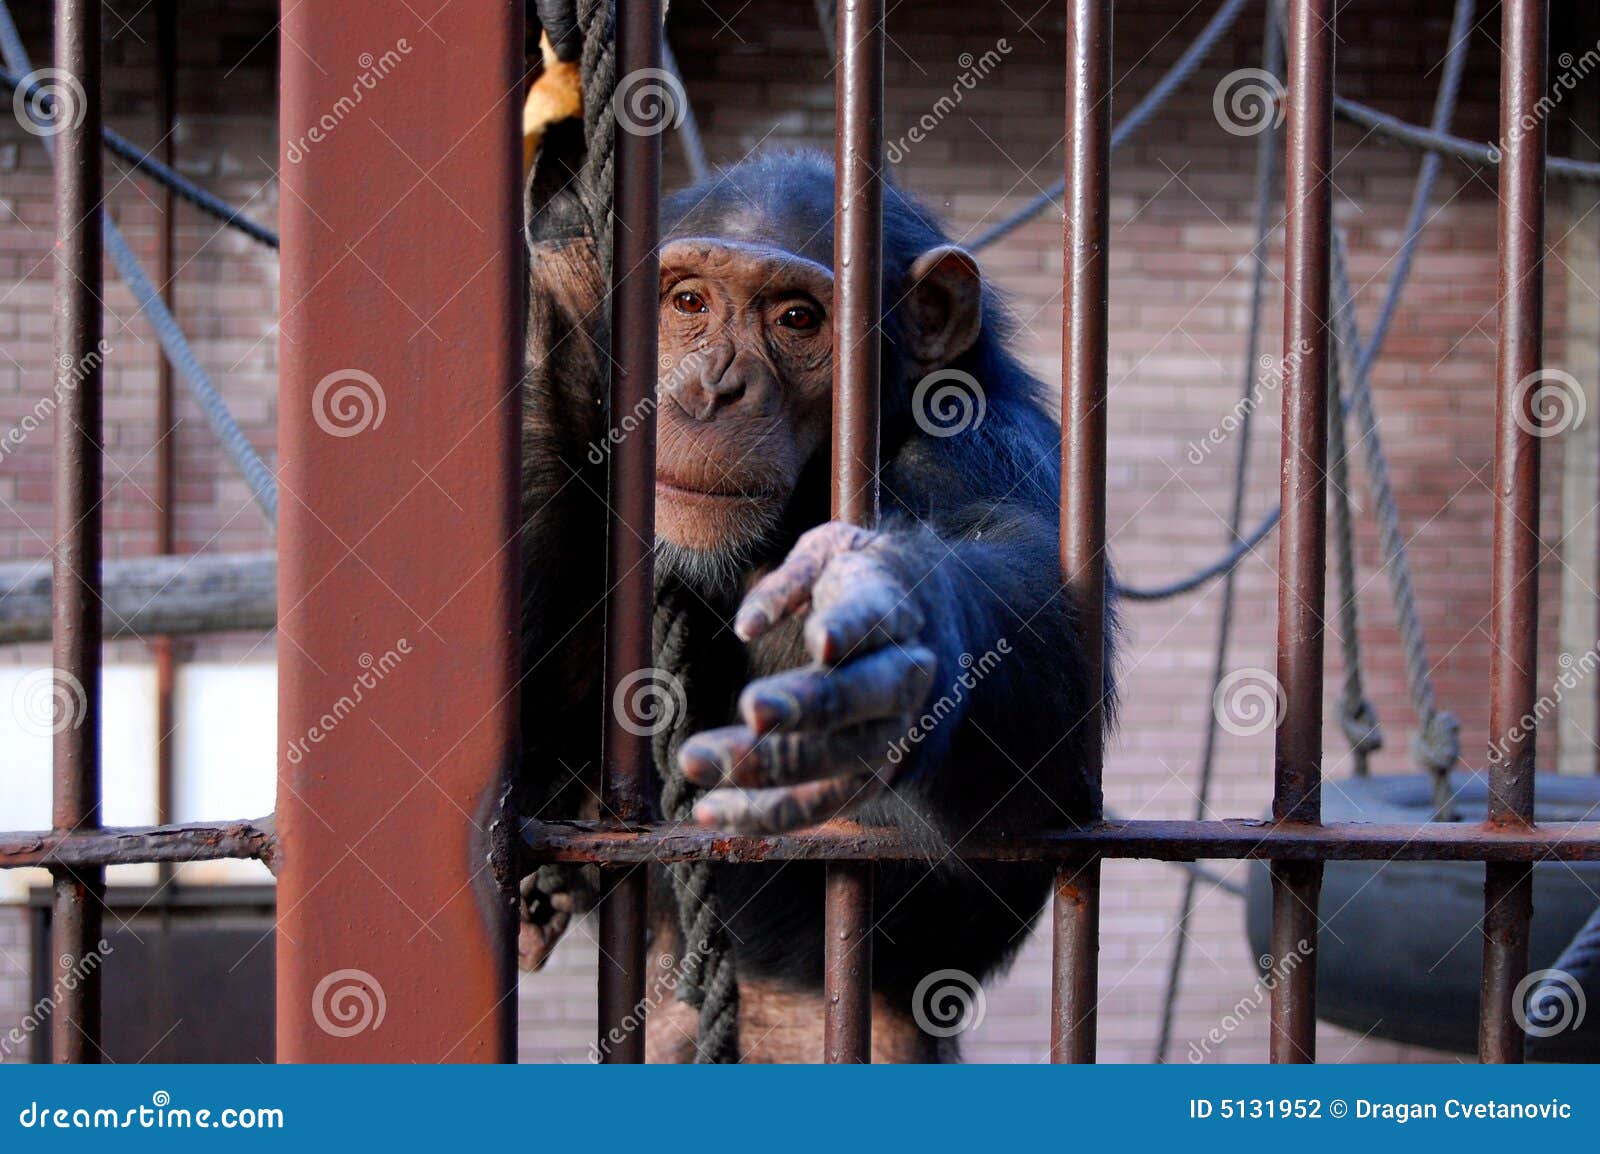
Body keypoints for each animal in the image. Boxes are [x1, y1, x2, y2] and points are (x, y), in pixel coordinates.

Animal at [515, 24, 1113, 1062]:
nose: (712, 387)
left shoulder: (986, 460)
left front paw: (887, 639)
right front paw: (565, 254)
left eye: (797, 319)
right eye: (688, 302)